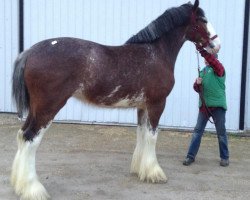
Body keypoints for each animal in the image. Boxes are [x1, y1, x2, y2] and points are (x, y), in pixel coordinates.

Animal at [10, 0, 220, 199]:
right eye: (202, 20)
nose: (216, 45)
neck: (154, 53)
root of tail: (30, 52)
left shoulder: (142, 106)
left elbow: (142, 134)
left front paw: (140, 170)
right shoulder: (157, 104)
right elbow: (152, 136)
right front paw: (155, 173)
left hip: (36, 109)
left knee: (21, 135)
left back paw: (19, 185)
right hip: (48, 108)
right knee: (30, 138)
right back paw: (33, 190)